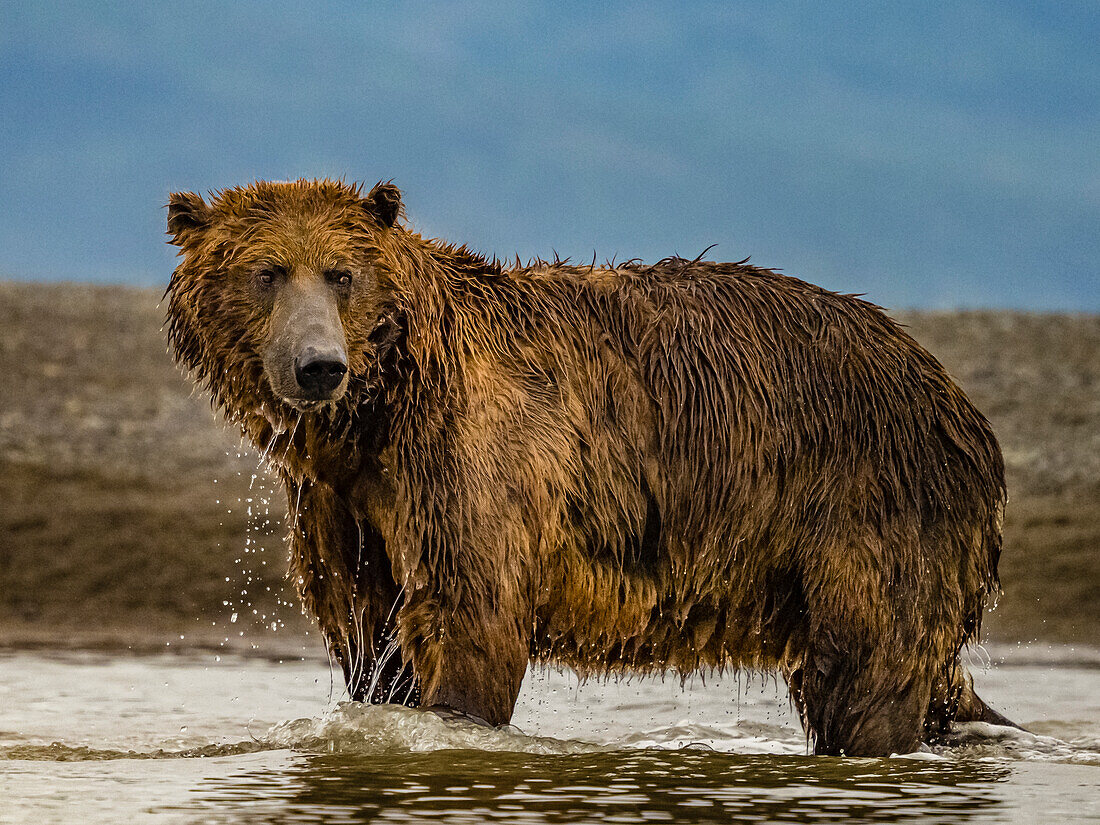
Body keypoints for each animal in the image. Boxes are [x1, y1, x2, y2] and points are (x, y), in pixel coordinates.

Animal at [162, 179, 1012, 756]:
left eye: (341, 273)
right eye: (267, 271)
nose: (318, 366)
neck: (380, 409)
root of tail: (954, 397)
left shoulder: (470, 458)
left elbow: (471, 616)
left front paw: (454, 721)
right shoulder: (342, 500)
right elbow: (367, 634)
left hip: (870, 503)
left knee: (866, 673)